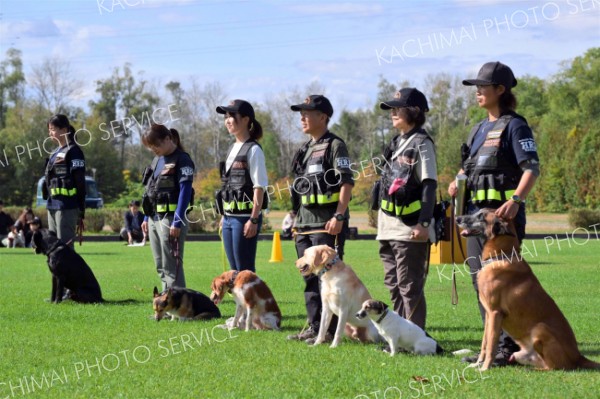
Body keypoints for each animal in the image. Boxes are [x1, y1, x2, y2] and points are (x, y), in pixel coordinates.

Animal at [458, 209, 596, 372]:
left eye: (481, 216)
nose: (457, 218)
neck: (500, 256)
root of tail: (578, 356)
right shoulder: (488, 315)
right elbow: (484, 344)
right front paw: (477, 363)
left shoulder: (495, 313)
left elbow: (491, 346)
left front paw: (484, 368)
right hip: (520, 353)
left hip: (540, 328)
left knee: (555, 367)